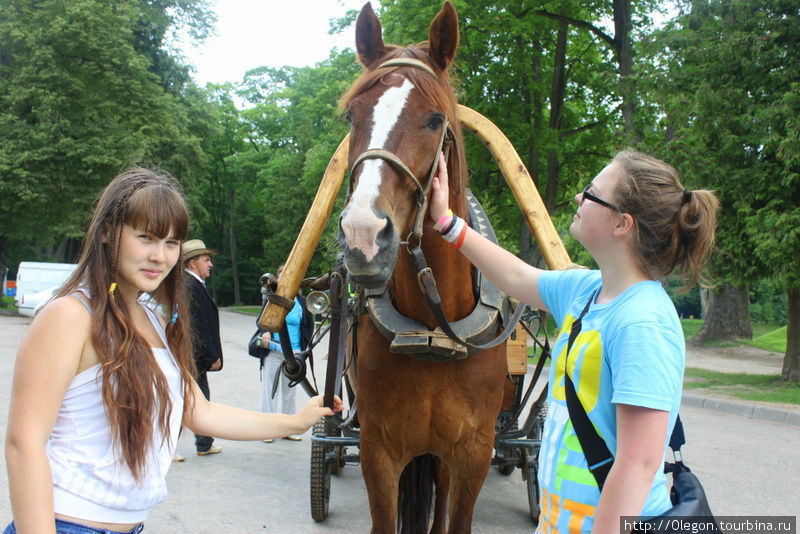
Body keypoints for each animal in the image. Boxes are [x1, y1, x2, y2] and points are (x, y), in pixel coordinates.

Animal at [336, 2, 506, 532]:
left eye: (434, 120)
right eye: (352, 116)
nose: (363, 235)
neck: (434, 328)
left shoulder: (474, 454)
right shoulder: (378, 450)